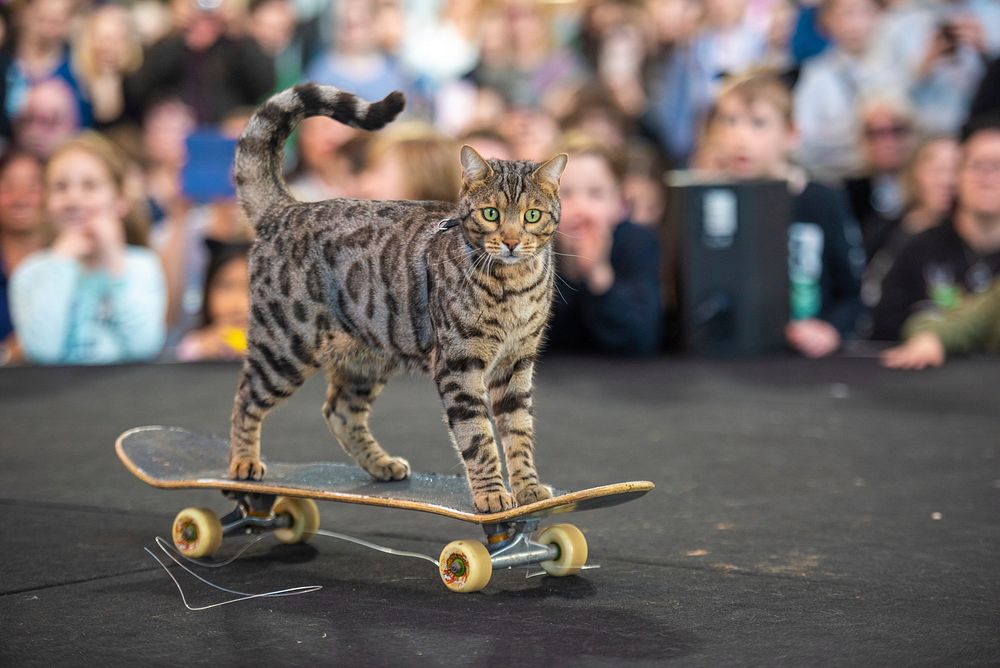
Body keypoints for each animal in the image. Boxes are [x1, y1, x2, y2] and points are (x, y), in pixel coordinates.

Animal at [229, 82, 568, 512]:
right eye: (490, 214)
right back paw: (243, 461)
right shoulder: (459, 364)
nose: (510, 241)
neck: (513, 285)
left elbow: (519, 433)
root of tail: (285, 209)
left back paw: (381, 464)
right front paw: (492, 494)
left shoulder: (517, 363)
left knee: (339, 411)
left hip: (367, 357)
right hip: (283, 347)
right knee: (245, 398)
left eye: (532, 216)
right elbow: (478, 437)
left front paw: (527, 488)